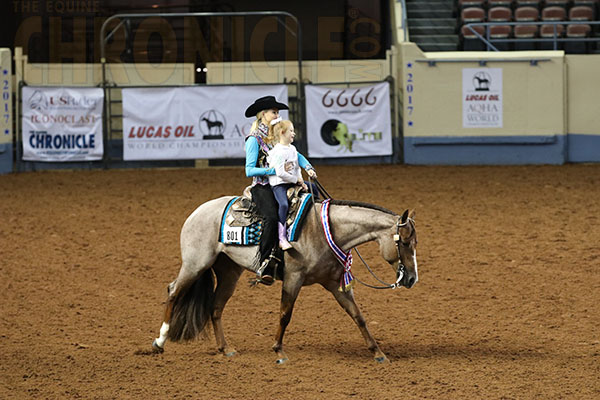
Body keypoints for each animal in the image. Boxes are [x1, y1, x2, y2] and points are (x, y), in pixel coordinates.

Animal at [151, 195, 418, 364]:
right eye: (405, 242)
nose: (412, 278)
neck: (324, 230)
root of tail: (197, 212)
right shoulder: (294, 278)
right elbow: (284, 314)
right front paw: (279, 352)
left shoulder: (335, 284)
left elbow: (358, 316)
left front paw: (378, 353)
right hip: (195, 264)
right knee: (173, 292)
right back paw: (159, 342)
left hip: (229, 272)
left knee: (215, 307)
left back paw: (226, 349)